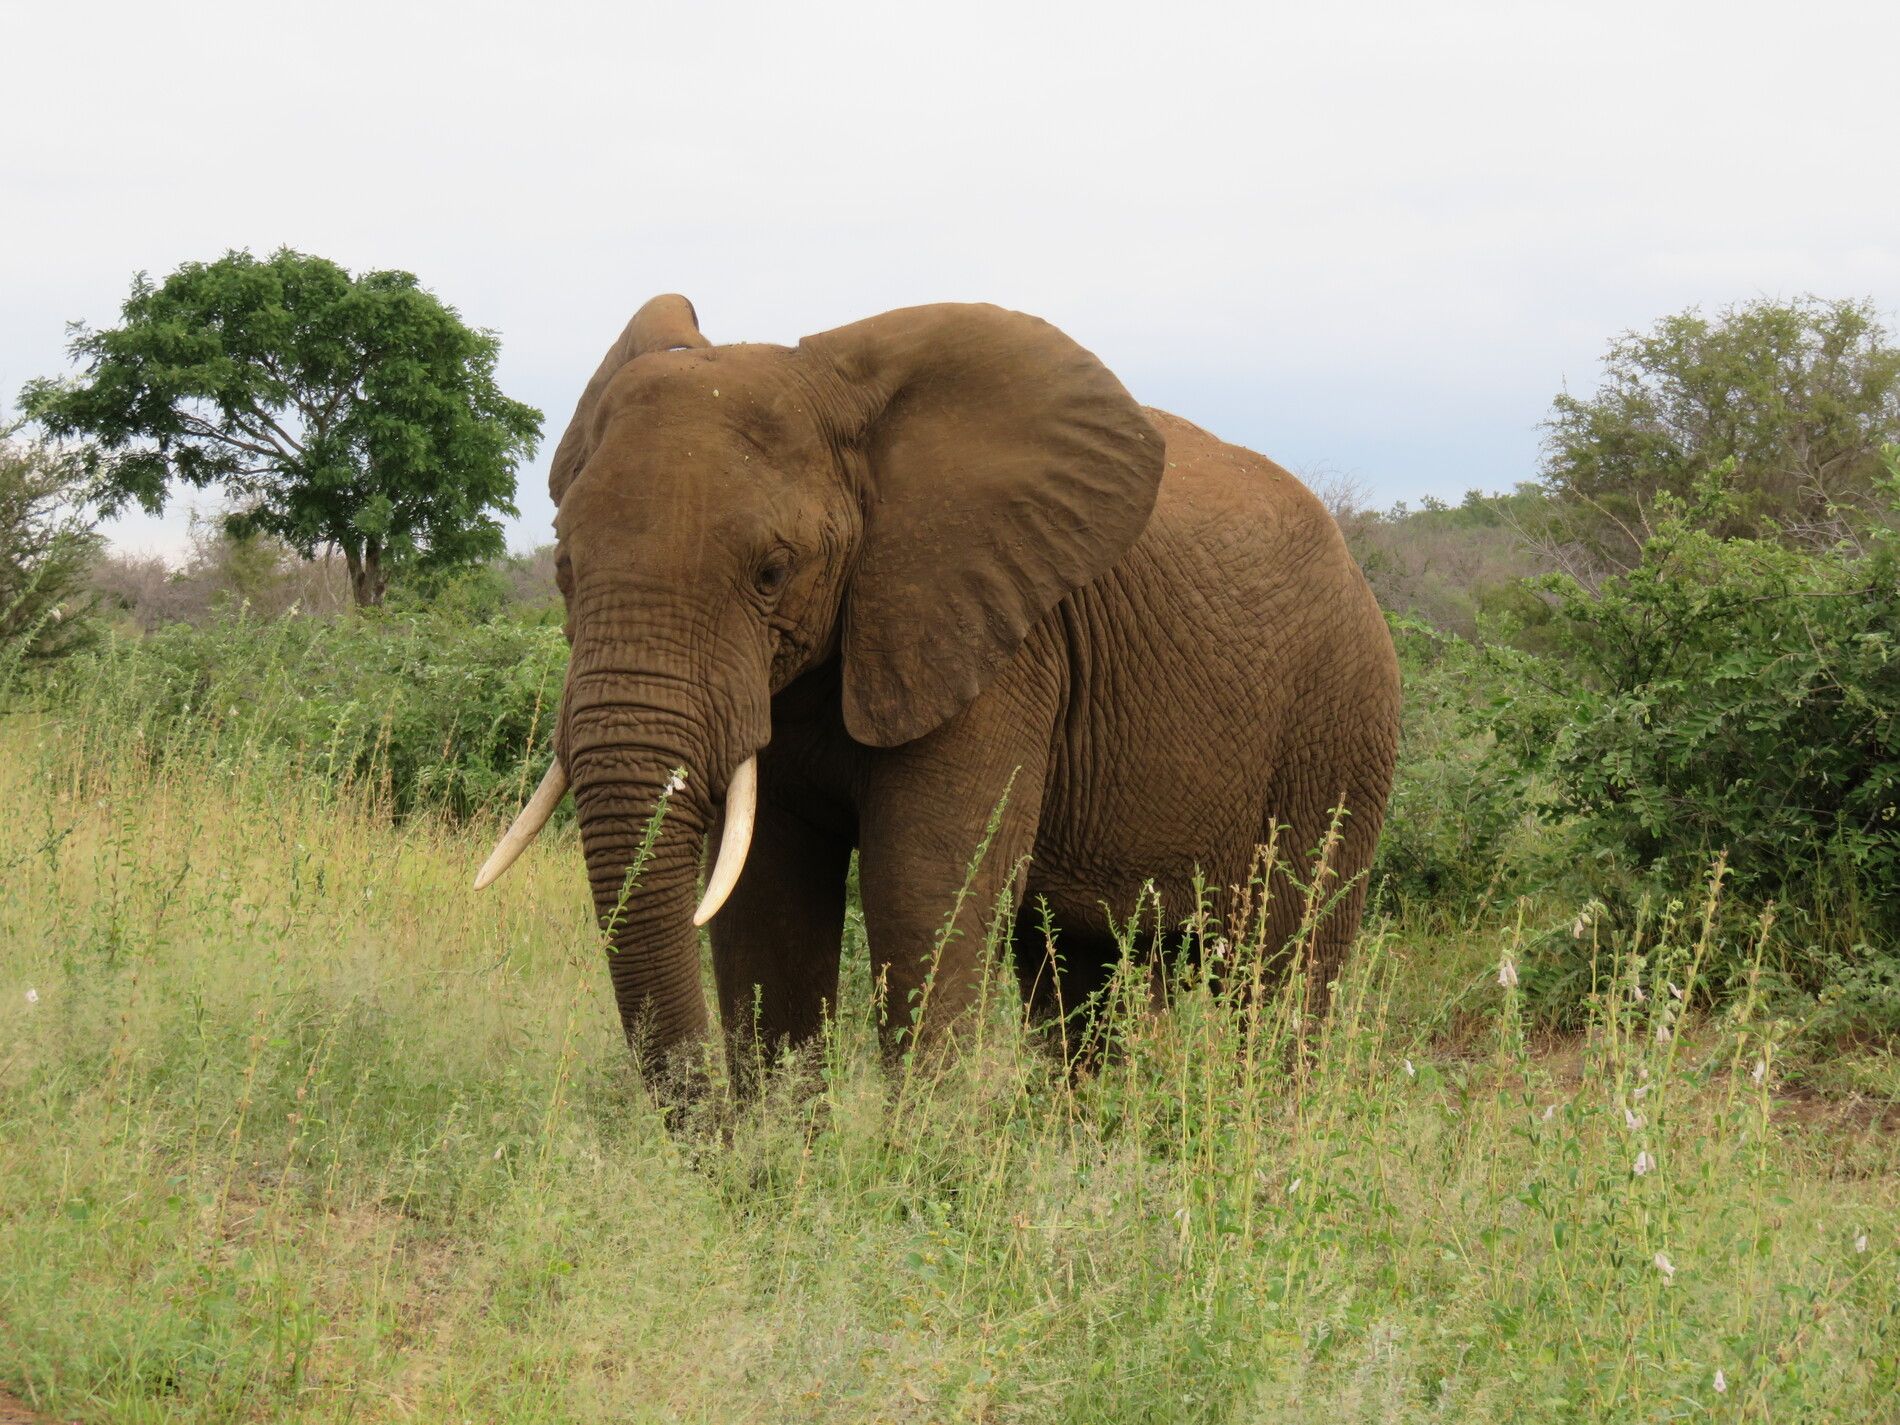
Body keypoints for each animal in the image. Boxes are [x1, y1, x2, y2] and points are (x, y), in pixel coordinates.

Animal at [477, 295, 1400, 1076]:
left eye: (773, 572)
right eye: (563, 566)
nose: (708, 1137)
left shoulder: (1002, 640)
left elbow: (923, 892)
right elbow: (766, 898)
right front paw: (773, 1164)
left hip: (1341, 725)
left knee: (1283, 968)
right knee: (1081, 976)